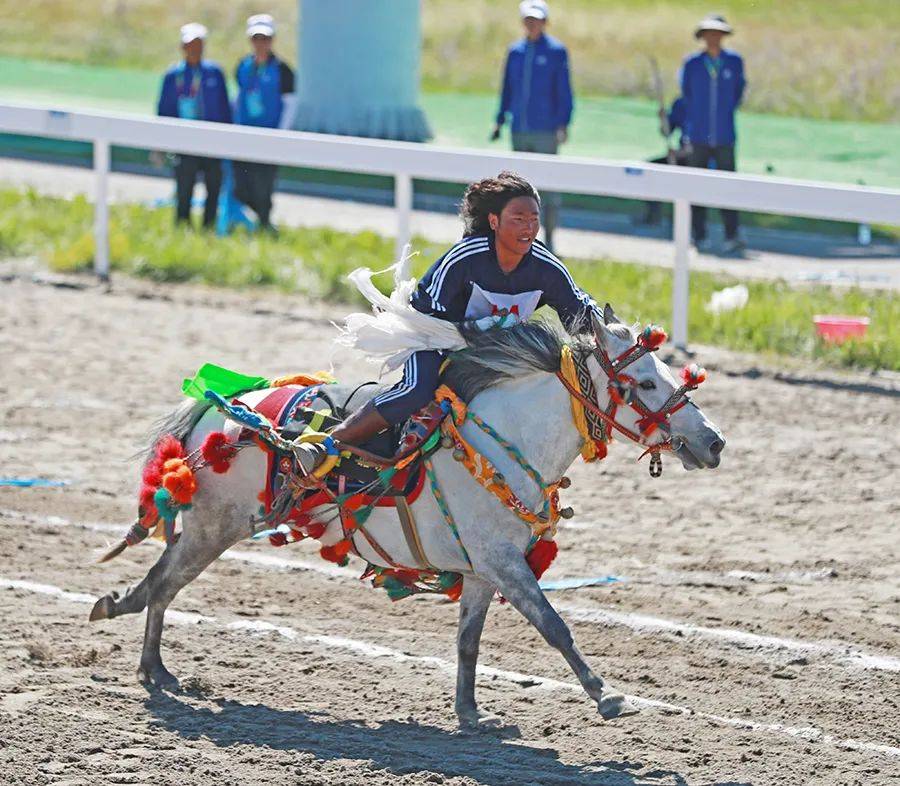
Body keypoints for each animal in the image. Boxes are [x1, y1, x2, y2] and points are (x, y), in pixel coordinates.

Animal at [89, 306, 724, 728]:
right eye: (646, 381)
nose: (714, 441)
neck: (501, 440)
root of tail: (221, 406)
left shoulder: (482, 570)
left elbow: (468, 643)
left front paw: (470, 714)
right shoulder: (505, 564)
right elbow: (554, 625)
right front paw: (605, 694)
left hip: (210, 528)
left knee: (160, 582)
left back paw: (144, 652)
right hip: (213, 529)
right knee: (163, 584)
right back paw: (150, 664)